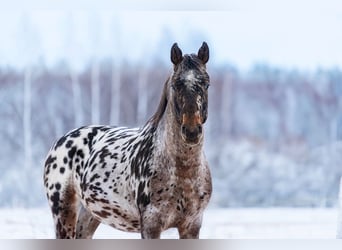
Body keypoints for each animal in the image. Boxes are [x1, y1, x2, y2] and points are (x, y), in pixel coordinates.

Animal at [42, 41, 211, 238]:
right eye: (176, 85)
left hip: (90, 216)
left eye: (206, 84)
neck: (183, 173)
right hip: (64, 214)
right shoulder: (151, 226)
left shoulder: (191, 226)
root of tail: (61, 141)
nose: (191, 131)